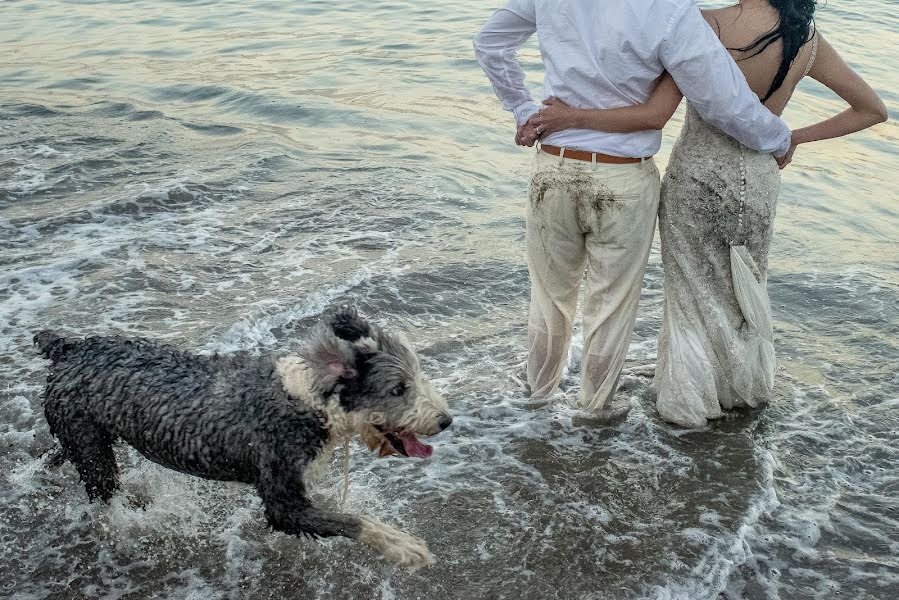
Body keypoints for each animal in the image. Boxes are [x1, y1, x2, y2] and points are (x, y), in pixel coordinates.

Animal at [33, 308, 450, 568]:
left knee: (60, 454)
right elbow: (352, 520)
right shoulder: (283, 499)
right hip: (92, 450)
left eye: (416, 376)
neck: (308, 399)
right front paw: (403, 546)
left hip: (78, 431)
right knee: (102, 489)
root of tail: (69, 347)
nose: (446, 420)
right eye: (398, 389)